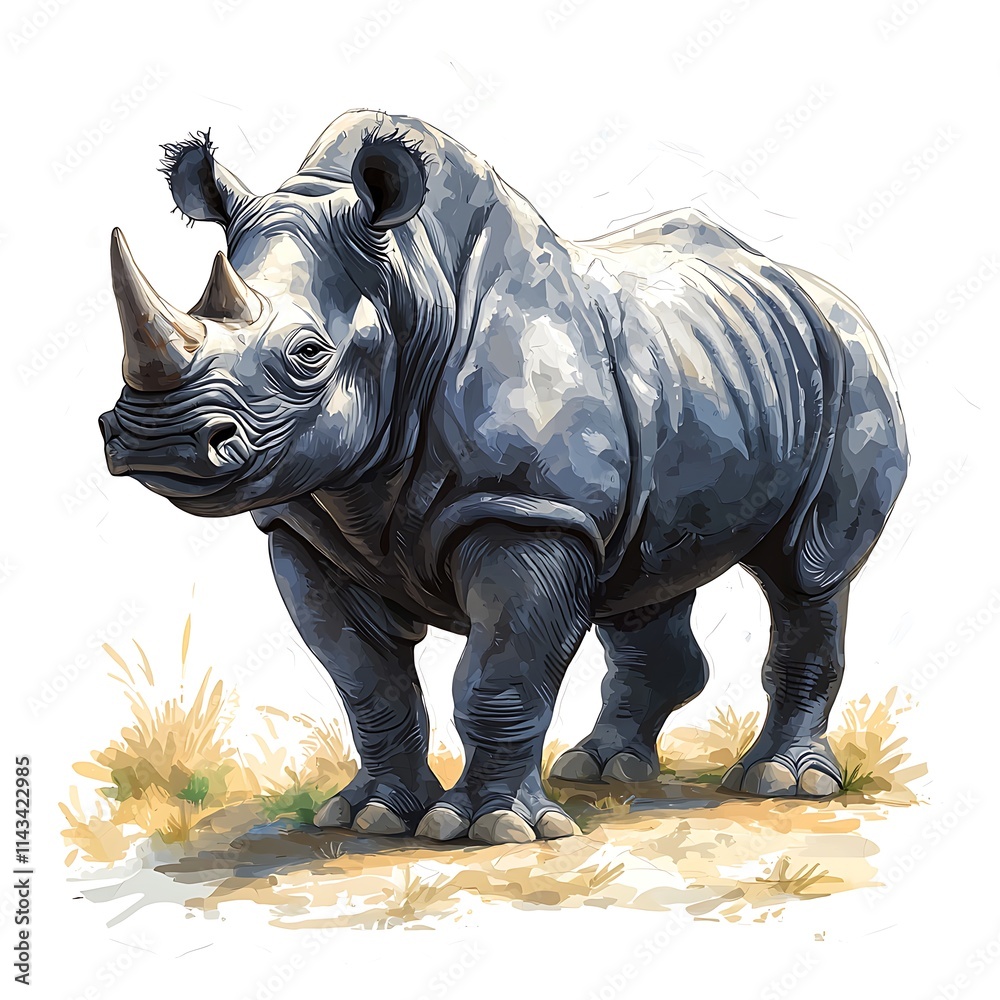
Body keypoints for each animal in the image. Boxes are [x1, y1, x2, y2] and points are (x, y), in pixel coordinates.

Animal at [99, 110, 907, 845]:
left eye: (307, 355)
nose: (155, 440)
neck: (408, 286)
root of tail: (819, 291)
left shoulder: (527, 512)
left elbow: (499, 676)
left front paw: (492, 829)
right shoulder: (307, 528)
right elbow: (367, 682)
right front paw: (372, 817)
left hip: (851, 364)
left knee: (806, 572)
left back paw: (781, 783)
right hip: (708, 373)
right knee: (645, 575)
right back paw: (604, 770)